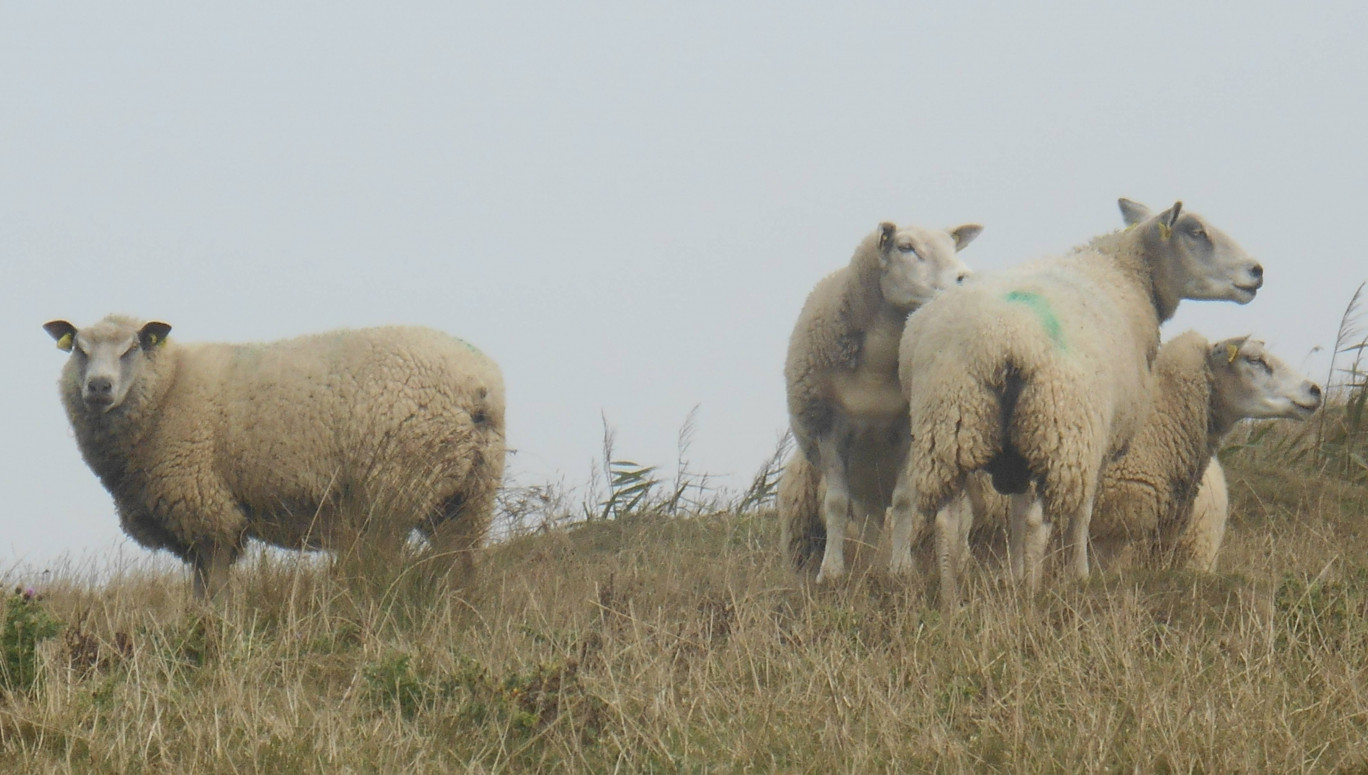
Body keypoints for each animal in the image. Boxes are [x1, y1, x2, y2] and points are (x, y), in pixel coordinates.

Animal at [42, 315, 506, 601]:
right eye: (79, 349)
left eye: (132, 348)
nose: (98, 387)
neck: (168, 389)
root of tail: (477, 386)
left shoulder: (208, 514)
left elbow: (214, 591)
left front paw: (212, 632)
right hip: (470, 494)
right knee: (464, 565)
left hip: (394, 488)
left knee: (384, 565)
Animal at [782, 220, 984, 582]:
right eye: (905, 247)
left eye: (952, 246)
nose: (965, 277)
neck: (875, 372)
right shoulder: (829, 429)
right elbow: (835, 502)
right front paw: (831, 573)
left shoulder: (910, 430)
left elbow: (904, 501)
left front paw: (901, 569)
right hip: (866, 481)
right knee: (869, 521)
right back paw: (869, 563)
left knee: (959, 512)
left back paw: (958, 562)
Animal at [886, 196, 1258, 609]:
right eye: (1196, 231)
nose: (1256, 272)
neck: (1125, 274)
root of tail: (1002, 339)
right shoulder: (1098, 440)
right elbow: (1082, 513)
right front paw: (1076, 575)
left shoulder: (1021, 449)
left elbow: (1017, 512)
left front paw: (1014, 574)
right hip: (1060, 426)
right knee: (1040, 521)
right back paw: (1032, 595)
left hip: (954, 422)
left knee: (947, 519)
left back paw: (952, 601)